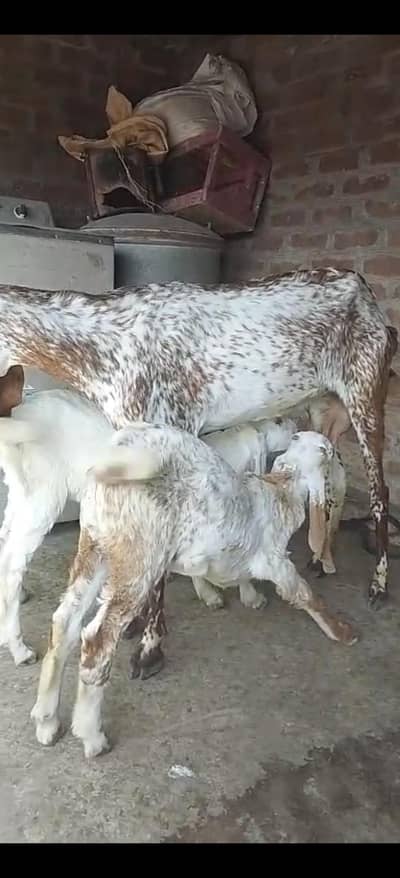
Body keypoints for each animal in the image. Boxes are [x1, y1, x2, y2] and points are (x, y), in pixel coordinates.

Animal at [0, 271, 395, 685]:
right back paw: (322, 559)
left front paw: (150, 649)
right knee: (334, 482)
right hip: (325, 409)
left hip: (365, 401)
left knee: (379, 493)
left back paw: (378, 584)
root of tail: (362, 289)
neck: (104, 342)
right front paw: (137, 627)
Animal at [31, 425, 357, 758]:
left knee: (65, 621)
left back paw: (46, 720)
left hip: (96, 545)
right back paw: (92, 736)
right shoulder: (275, 559)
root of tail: (120, 452)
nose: (338, 452)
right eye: (327, 451)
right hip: (139, 552)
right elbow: (305, 594)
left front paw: (249, 595)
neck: (282, 488)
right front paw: (342, 631)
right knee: (97, 640)